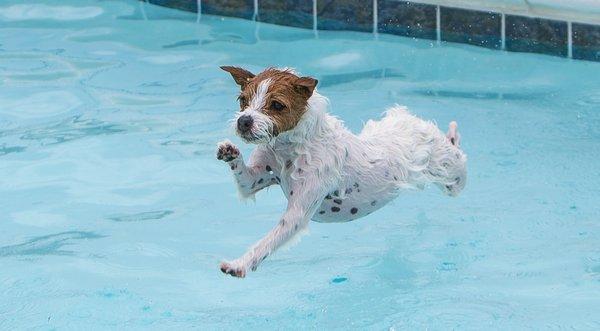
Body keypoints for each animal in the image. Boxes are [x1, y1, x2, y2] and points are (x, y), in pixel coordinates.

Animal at [217, 66, 468, 278]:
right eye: (243, 100)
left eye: (277, 105)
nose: (244, 121)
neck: (289, 148)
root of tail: (413, 121)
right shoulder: (253, 181)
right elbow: (244, 180)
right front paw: (230, 151)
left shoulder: (297, 214)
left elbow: (266, 242)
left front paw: (240, 264)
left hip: (451, 176)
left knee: (459, 159)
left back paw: (453, 135)